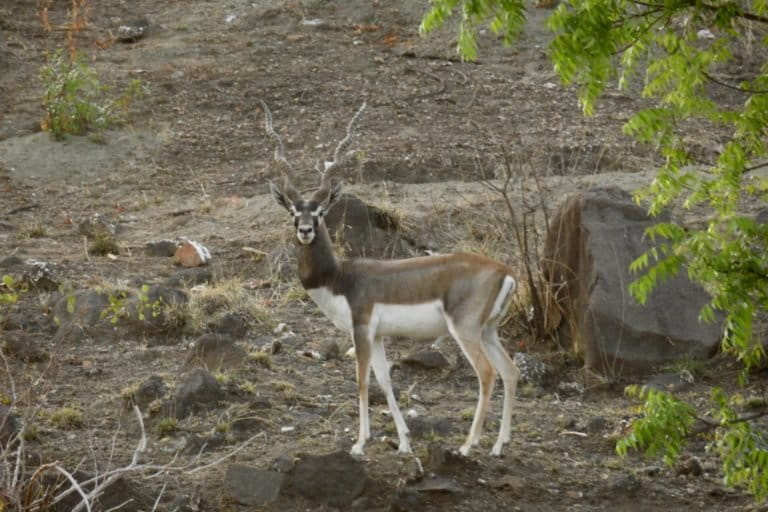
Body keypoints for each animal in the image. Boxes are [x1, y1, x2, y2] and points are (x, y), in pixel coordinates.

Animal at [264, 100, 520, 456]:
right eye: (292, 211)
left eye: (320, 212)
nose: (304, 231)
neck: (341, 278)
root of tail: (504, 271)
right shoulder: (378, 335)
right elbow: (385, 381)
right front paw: (403, 441)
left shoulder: (360, 329)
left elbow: (361, 380)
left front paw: (359, 443)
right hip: (488, 330)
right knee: (511, 371)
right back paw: (499, 445)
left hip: (466, 330)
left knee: (487, 373)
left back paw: (467, 446)